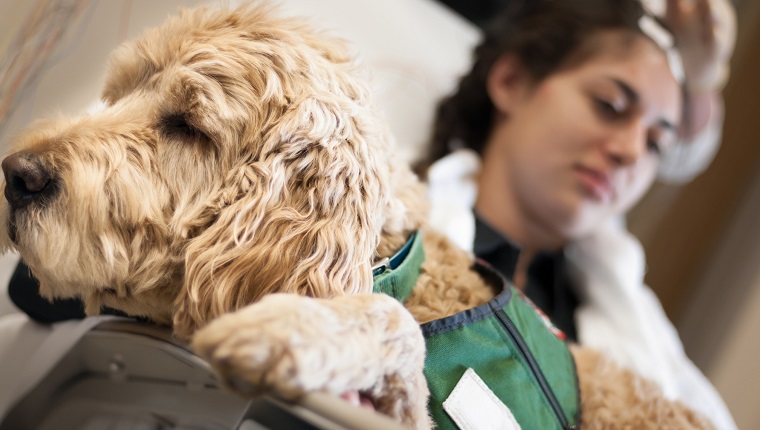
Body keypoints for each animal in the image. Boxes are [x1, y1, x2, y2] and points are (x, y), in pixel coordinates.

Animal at [0, 4, 712, 430]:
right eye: (117, 94)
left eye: (187, 126)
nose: (15, 175)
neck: (399, 265)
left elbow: (391, 322)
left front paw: (286, 331)